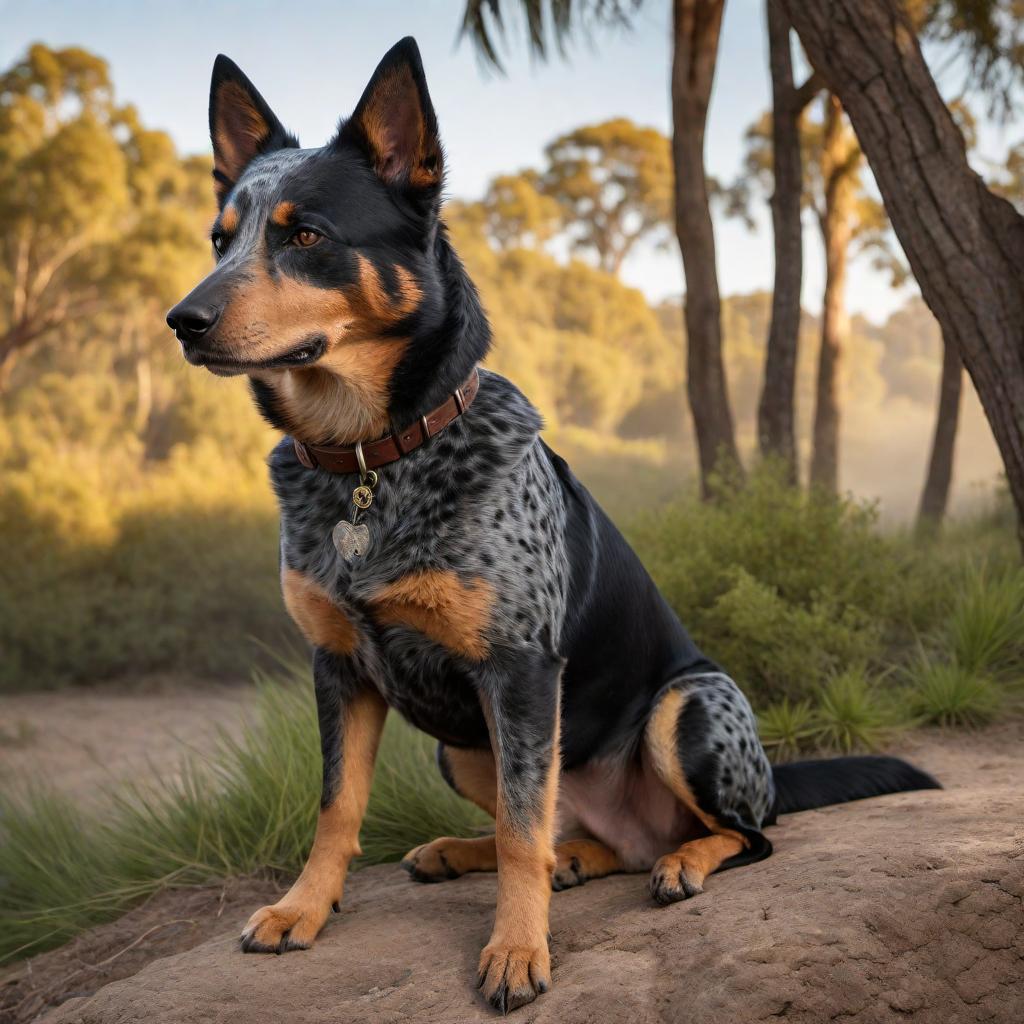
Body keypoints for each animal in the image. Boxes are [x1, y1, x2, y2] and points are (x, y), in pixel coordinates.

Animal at [167, 36, 942, 1011]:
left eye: (305, 236)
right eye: (220, 238)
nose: (182, 320)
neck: (375, 459)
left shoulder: (522, 671)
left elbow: (518, 835)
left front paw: (515, 950)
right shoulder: (339, 667)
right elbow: (337, 805)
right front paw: (303, 908)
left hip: (687, 708)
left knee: (744, 835)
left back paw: (682, 860)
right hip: (460, 748)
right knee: (575, 835)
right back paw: (518, 854)